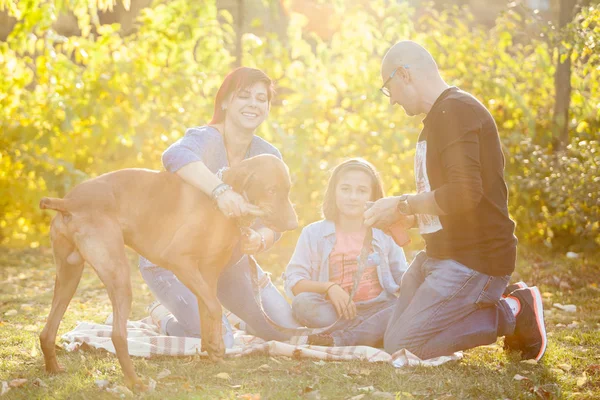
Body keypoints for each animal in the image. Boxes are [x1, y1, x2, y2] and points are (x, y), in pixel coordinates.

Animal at [38, 154, 296, 390]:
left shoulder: (208, 274)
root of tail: (69, 202)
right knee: (118, 334)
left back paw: (53, 368)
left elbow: (206, 311)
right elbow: (215, 308)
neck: (218, 204)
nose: (294, 224)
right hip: (118, 276)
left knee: (47, 331)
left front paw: (210, 351)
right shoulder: (178, 260)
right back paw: (135, 383)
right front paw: (217, 347)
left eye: (288, 189)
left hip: (69, 276)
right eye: (271, 190)